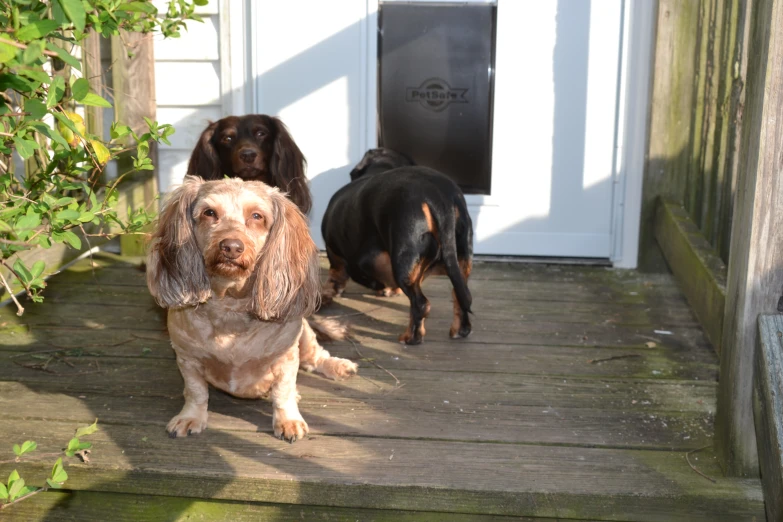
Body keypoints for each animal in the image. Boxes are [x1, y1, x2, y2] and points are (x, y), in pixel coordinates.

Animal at [147, 174, 358, 438]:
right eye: (209, 212)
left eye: (257, 216)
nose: (231, 247)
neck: (231, 305)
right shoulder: (187, 358)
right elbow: (196, 392)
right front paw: (190, 417)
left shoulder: (286, 359)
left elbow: (283, 393)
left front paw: (288, 420)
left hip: (306, 336)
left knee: (316, 357)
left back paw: (338, 366)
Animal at [316, 148, 472, 344]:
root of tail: (439, 197)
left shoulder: (349, 259)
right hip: (460, 259)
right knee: (460, 295)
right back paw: (461, 329)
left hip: (402, 261)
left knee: (421, 304)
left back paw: (411, 337)